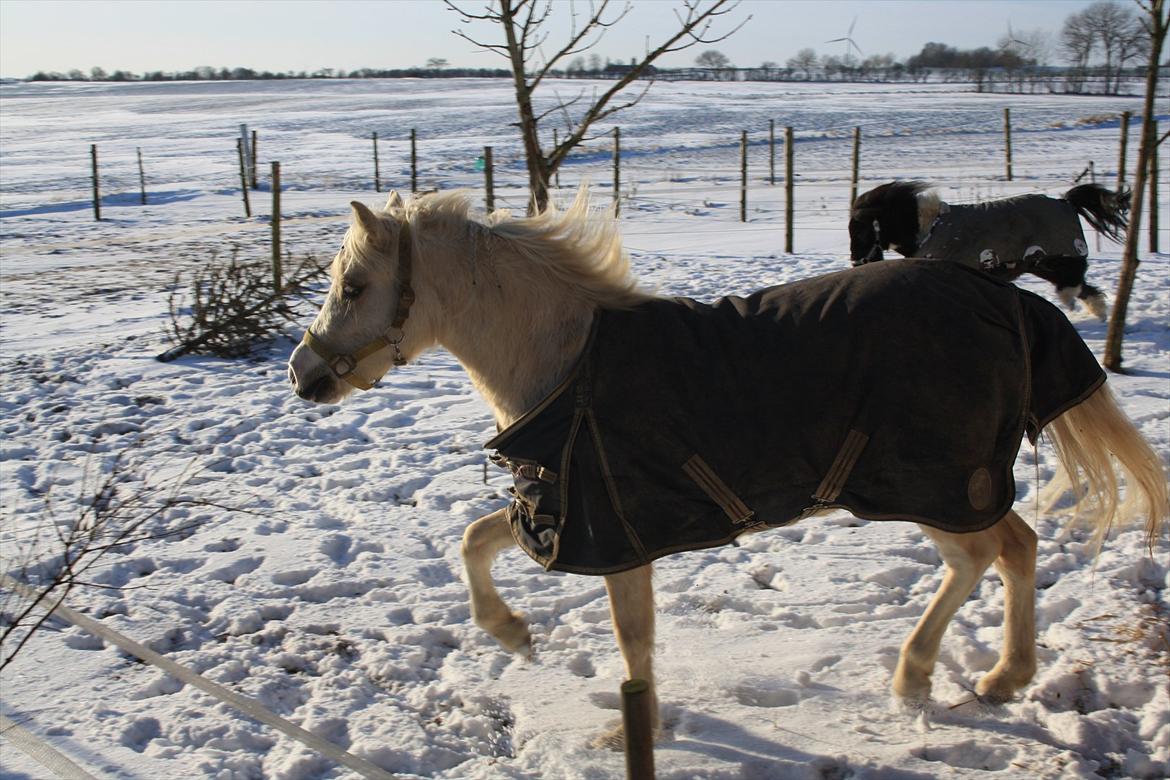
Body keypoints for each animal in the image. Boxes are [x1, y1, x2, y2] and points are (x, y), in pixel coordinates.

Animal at [851, 181, 1132, 318]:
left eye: (861, 231)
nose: (856, 262)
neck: (925, 228)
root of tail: (1066, 201)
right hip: (1044, 265)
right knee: (1086, 289)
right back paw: (1098, 314)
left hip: (1056, 261)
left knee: (1074, 284)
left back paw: (1073, 305)